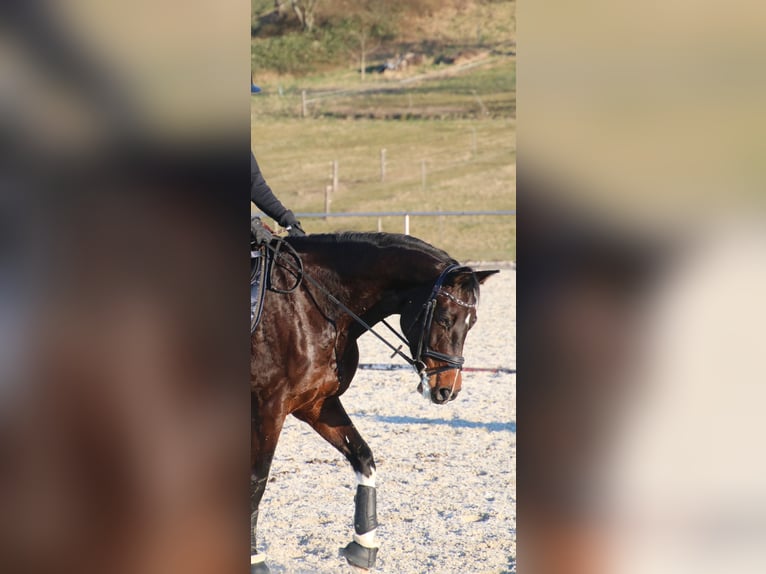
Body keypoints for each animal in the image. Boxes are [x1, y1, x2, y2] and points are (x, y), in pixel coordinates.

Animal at [250, 232, 498, 573]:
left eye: (471, 323)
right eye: (445, 319)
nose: (448, 390)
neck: (312, 305)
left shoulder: (316, 404)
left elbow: (363, 457)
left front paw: (363, 546)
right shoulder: (269, 406)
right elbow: (257, 480)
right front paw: (254, 558)